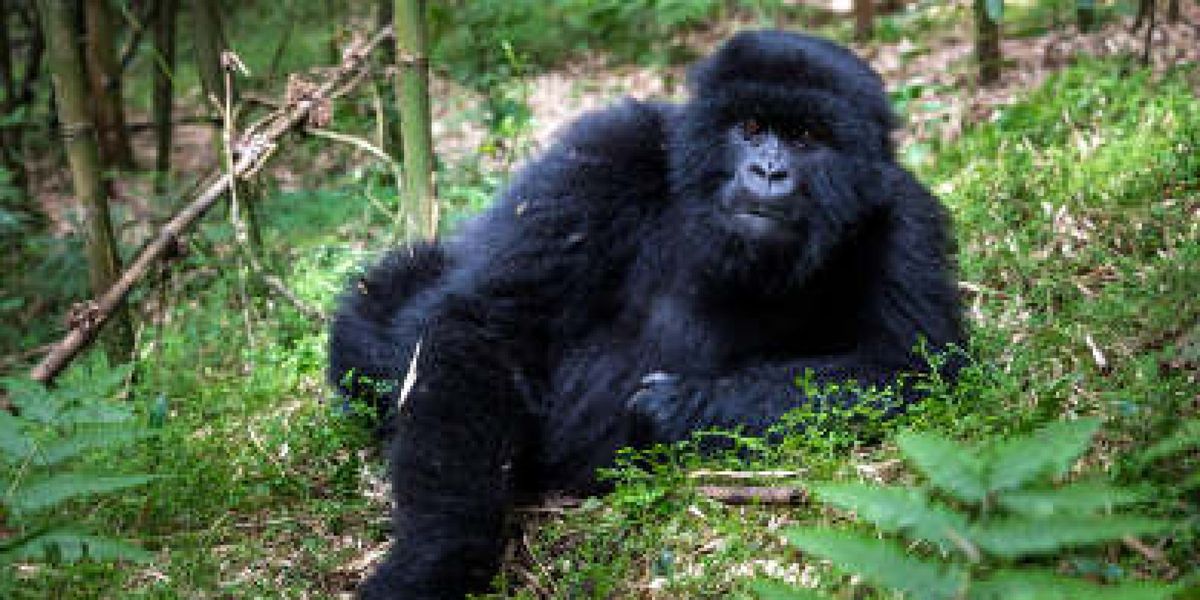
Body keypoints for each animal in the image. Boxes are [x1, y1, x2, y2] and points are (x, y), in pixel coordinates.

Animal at [331, 29, 964, 600]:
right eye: (751, 129)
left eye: (807, 137)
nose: (768, 172)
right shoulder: (607, 152)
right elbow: (488, 326)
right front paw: (434, 555)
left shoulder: (903, 215)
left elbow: (910, 369)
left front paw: (680, 407)